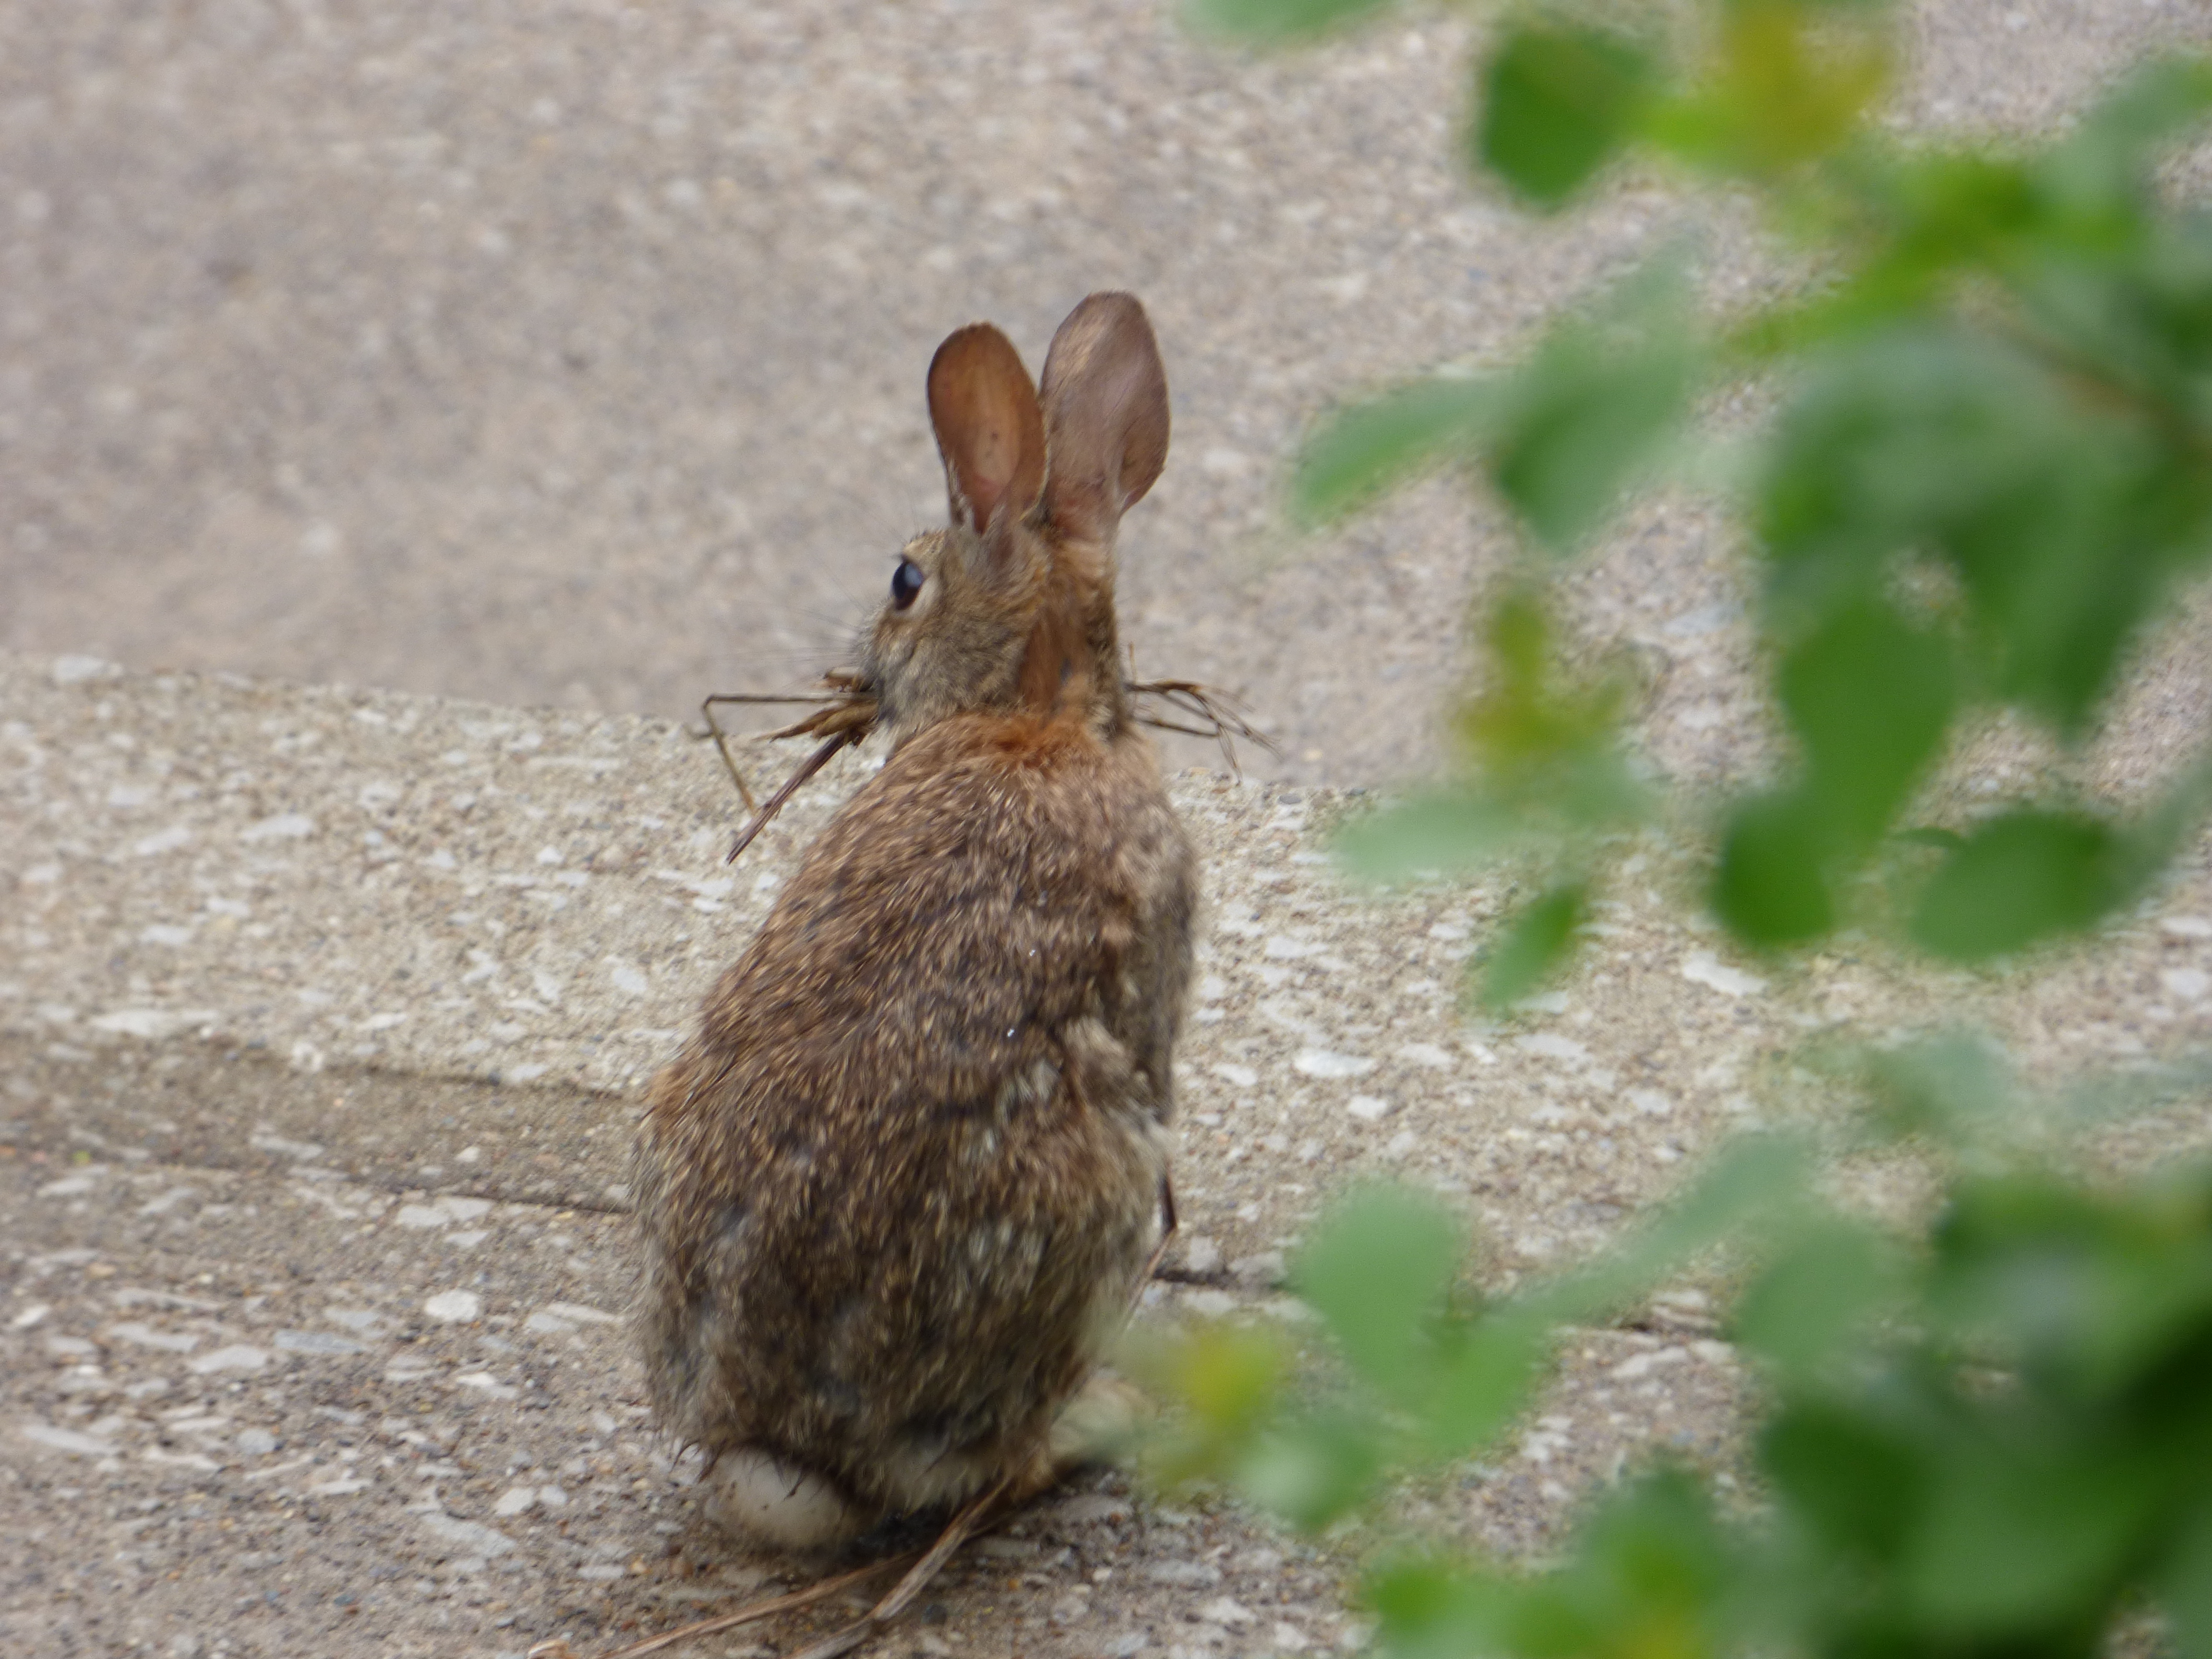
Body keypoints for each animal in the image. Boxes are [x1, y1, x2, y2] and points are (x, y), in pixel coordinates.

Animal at [631, 292, 1195, 1553]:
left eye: (901, 581)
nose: (863, 667)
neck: (1042, 712)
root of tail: (782, 1446)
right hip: (1091, 1205)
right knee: (993, 1461)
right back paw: (1109, 1417)